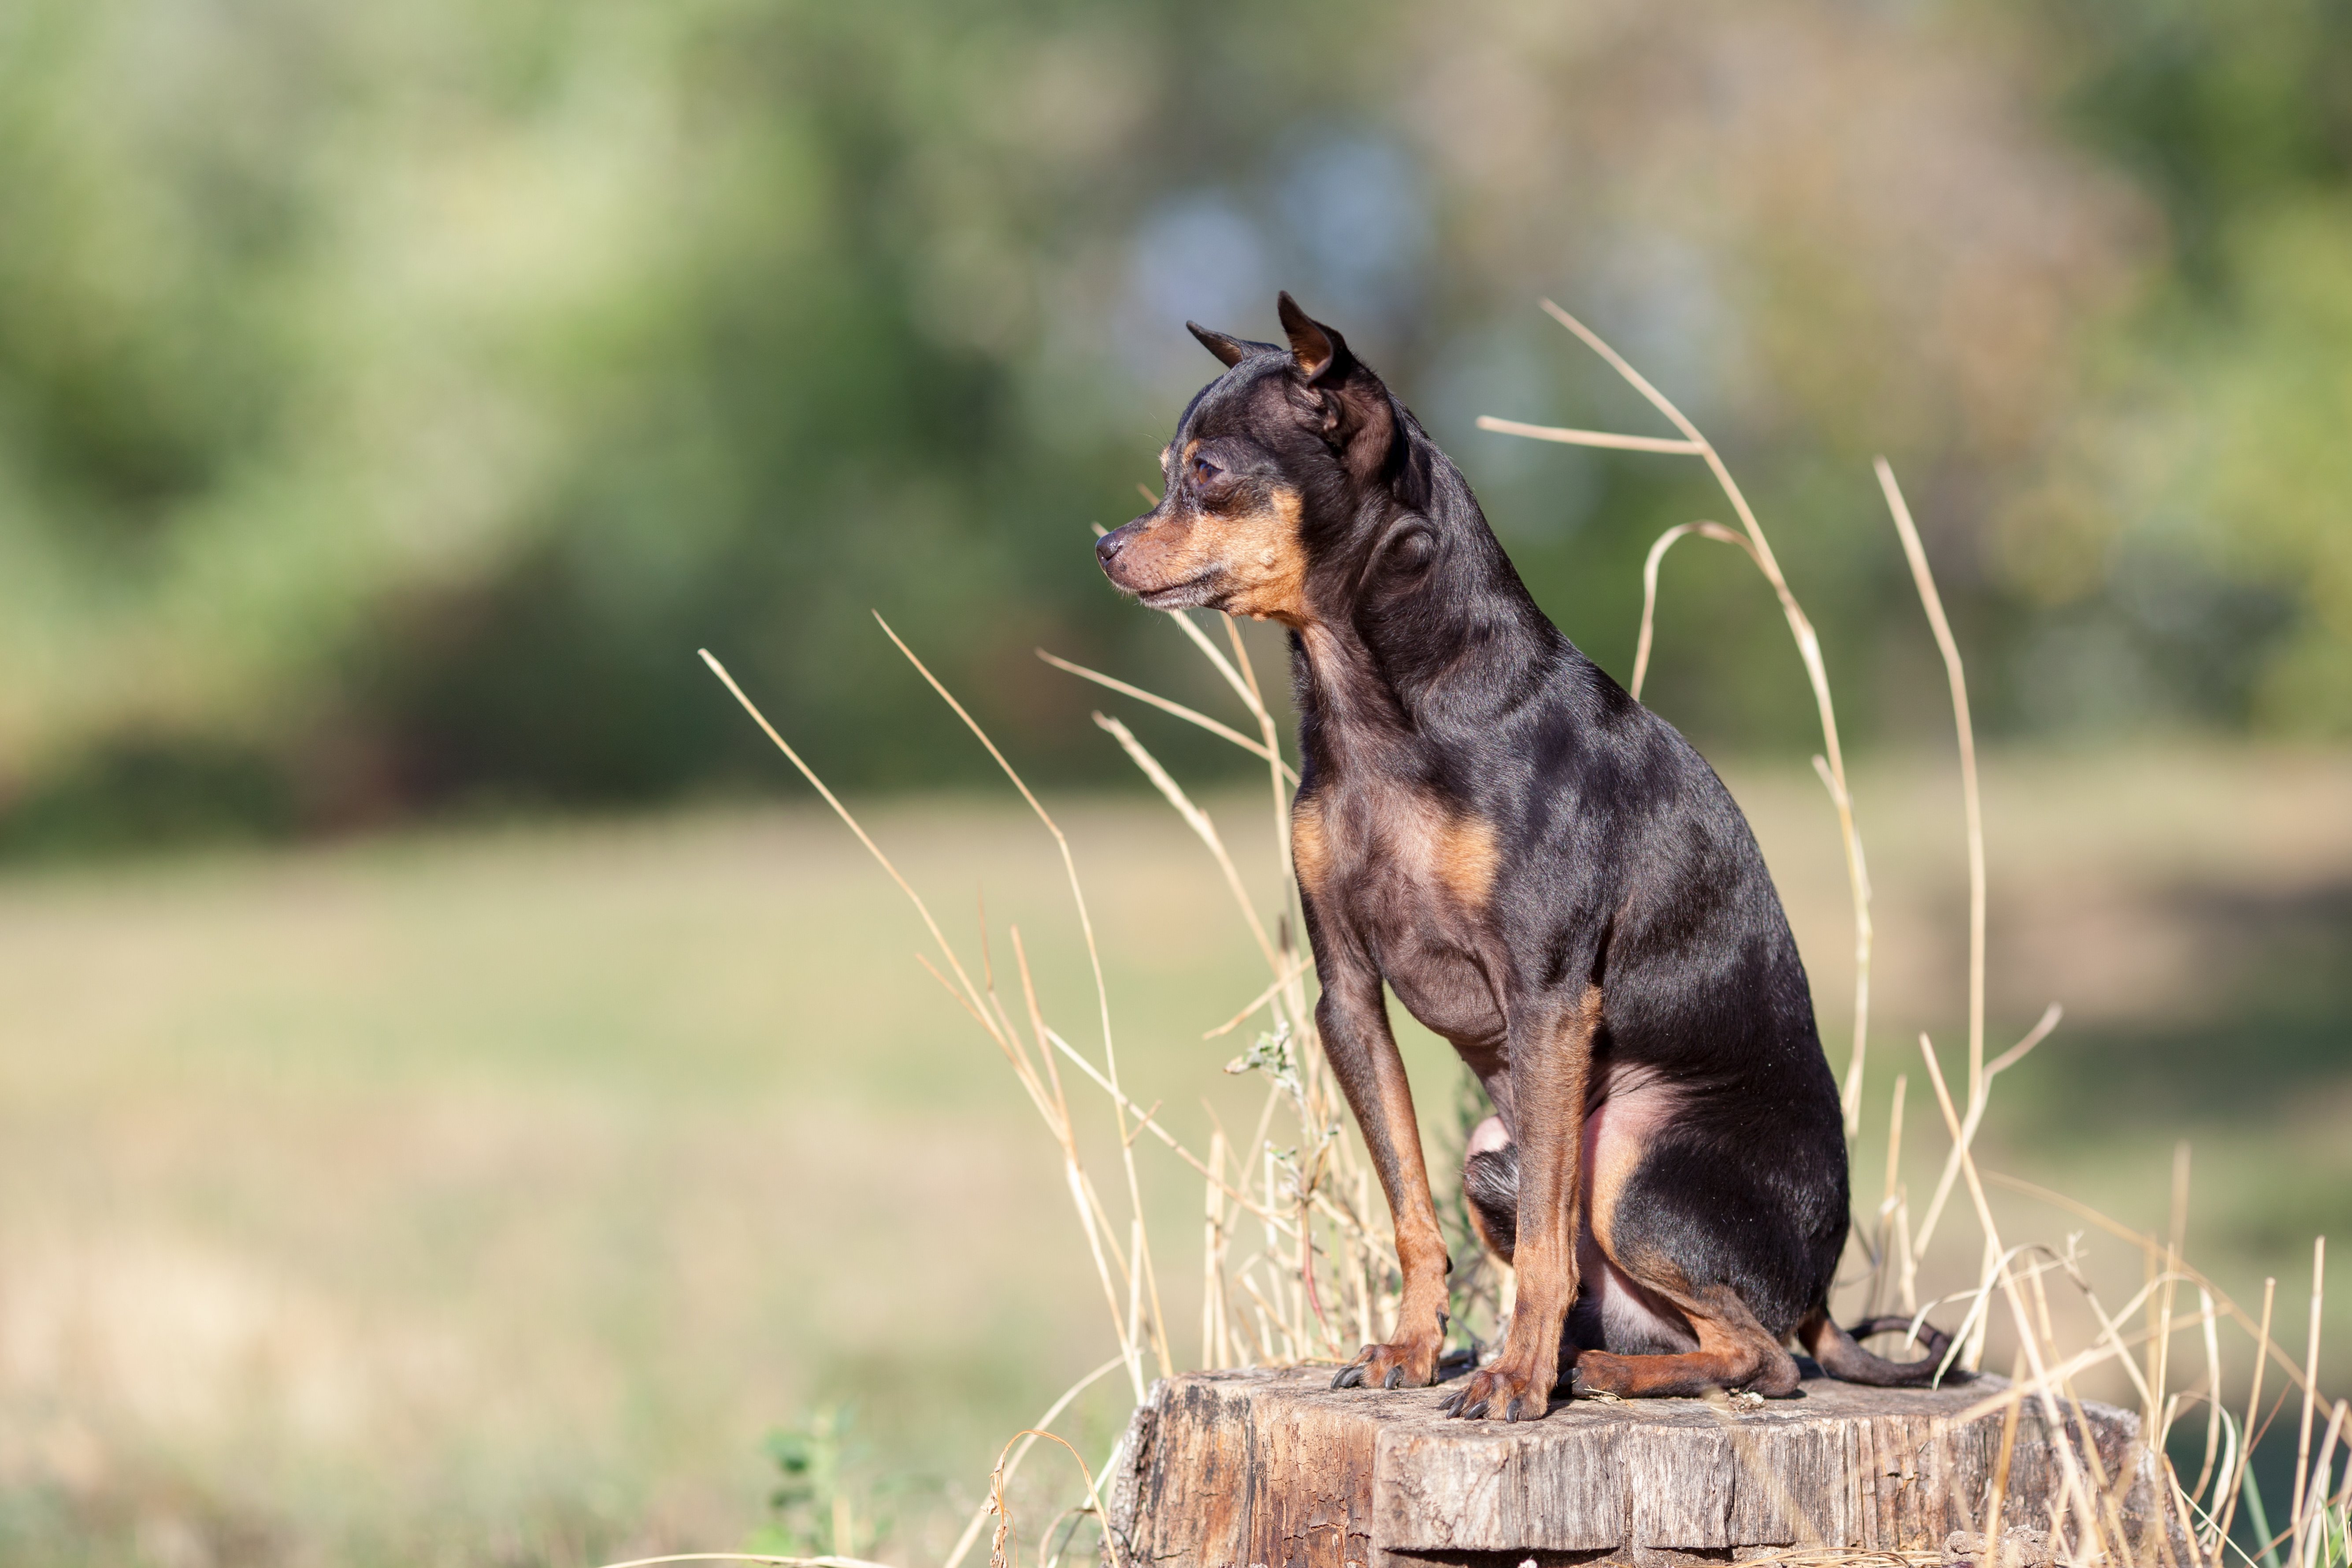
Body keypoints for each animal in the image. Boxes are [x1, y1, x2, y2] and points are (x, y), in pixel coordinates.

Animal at [1091, 291, 1957, 1420]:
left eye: (1205, 473)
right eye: (1166, 470)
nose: (1105, 545)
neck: (1380, 709)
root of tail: (1817, 1293)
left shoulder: (1545, 994)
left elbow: (1548, 1240)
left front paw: (1511, 1379)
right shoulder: (1347, 995)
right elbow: (1411, 1210)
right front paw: (1415, 1349)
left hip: (1632, 1167)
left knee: (1763, 1356)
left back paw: (1595, 1367)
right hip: (1490, 1161)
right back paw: (1579, 1354)